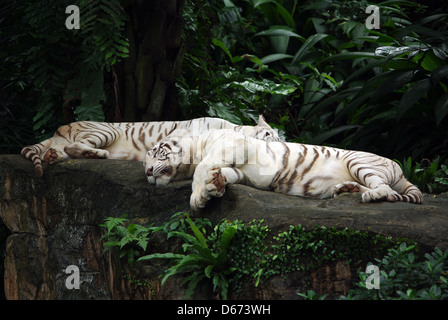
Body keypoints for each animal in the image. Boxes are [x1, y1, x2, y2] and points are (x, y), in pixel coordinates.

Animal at [144, 129, 424, 211]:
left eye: (156, 152)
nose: (147, 172)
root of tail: (401, 171)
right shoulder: (242, 172)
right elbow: (225, 174)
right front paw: (215, 185)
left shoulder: (235, 144)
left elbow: (202, 168)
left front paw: (196, 198)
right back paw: (345, 188)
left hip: (359, 162)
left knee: (386, 190)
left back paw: (371, 195)